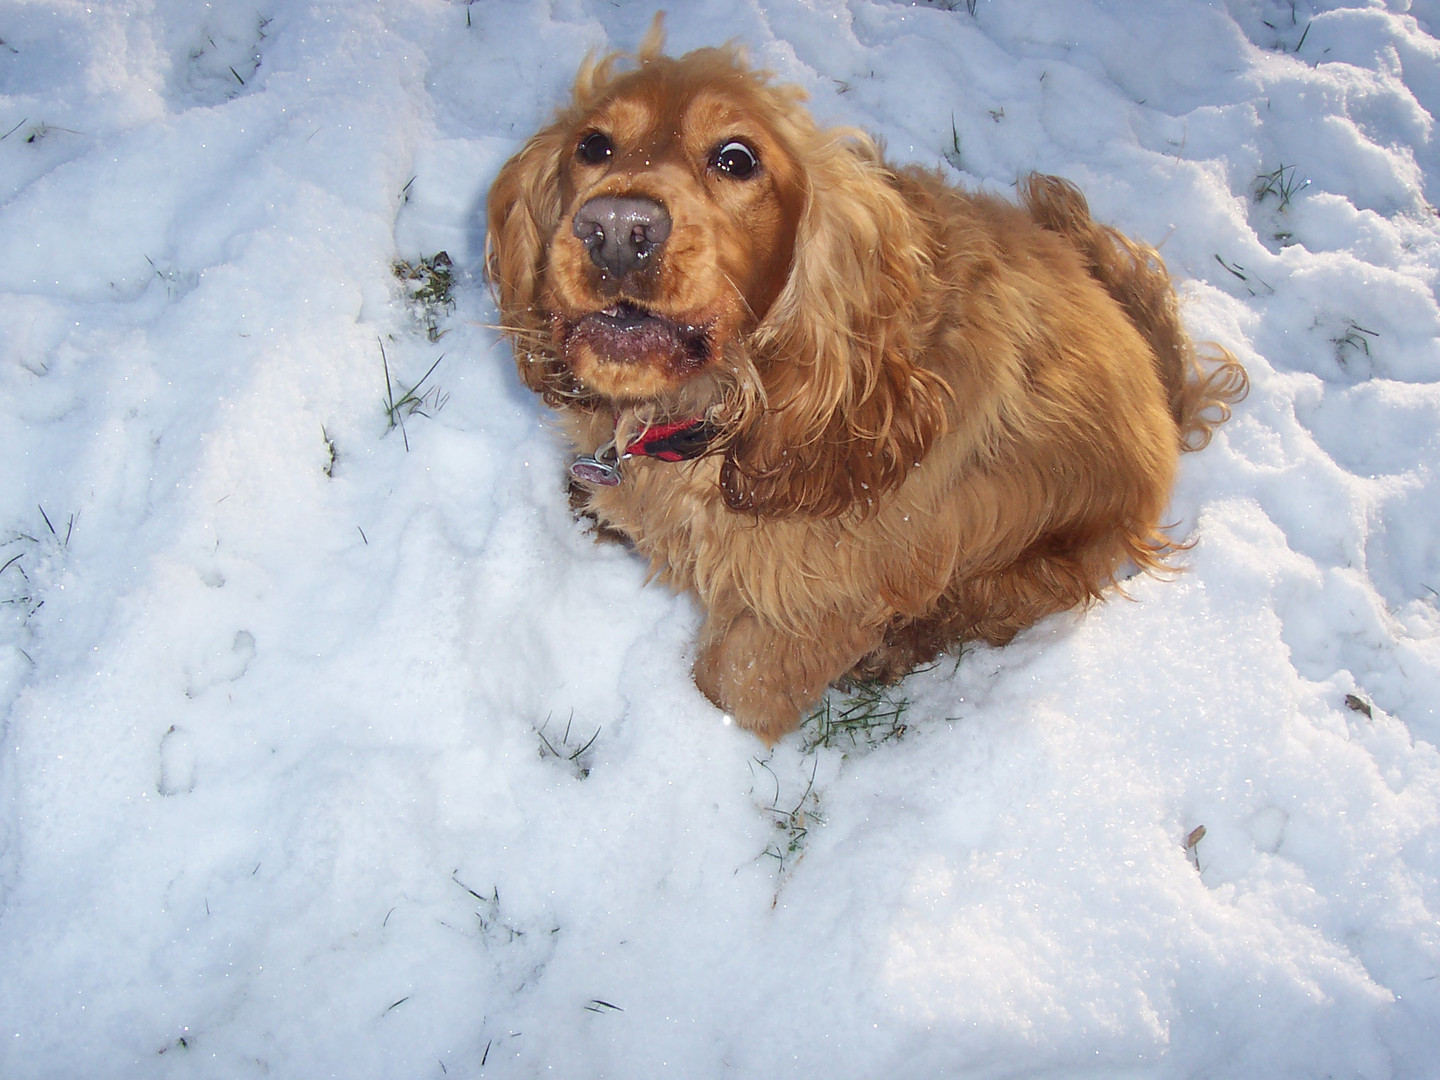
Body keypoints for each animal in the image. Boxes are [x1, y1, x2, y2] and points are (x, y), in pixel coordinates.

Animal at [480, 21, 1238, 743]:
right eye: (592, 146)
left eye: (736, 158)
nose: (614, 228)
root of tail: (1165, 396)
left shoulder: (817, 601)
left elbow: (737, 682)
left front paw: (702, 741)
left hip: (1034, 564)